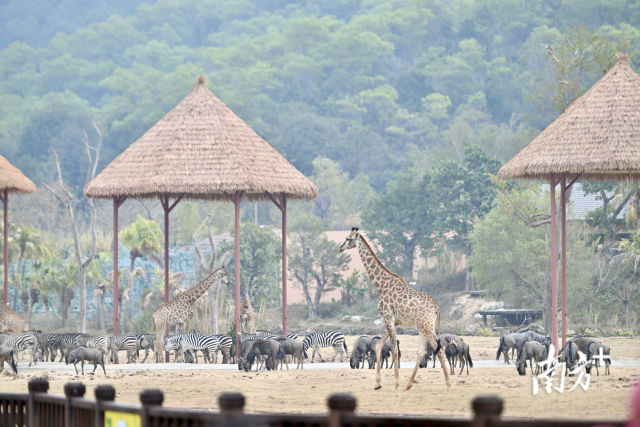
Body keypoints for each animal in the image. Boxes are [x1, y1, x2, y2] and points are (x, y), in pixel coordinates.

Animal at [340, 229, 450, 392]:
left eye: (347, 238)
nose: (340, 248)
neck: (381, 286)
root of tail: (436, 307)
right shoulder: (393, 321)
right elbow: (379, 345)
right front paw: (378, 384)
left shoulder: (388, 317)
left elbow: (394, 350)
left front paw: (395, 384)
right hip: (422, 326)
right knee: (422, 351)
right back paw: (408, 385)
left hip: (426, 325)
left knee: (440, 348)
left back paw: (448, 384)